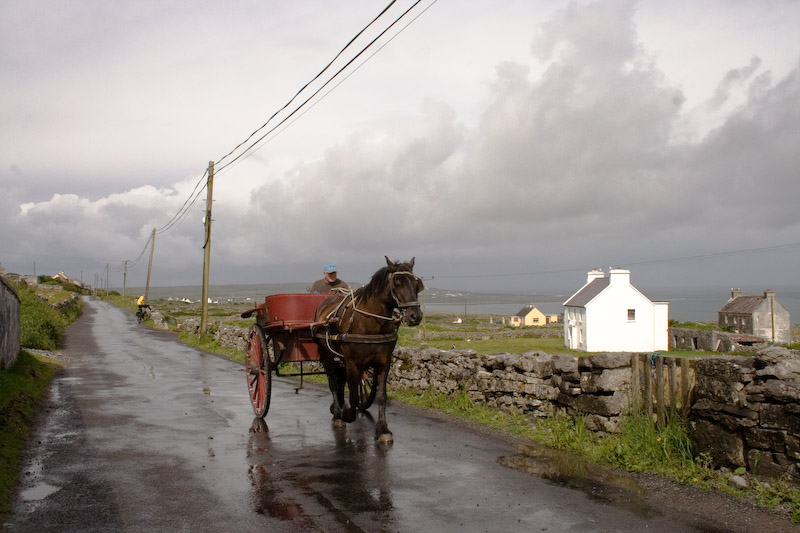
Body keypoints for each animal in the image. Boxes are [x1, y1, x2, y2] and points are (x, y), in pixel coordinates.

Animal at [312, 256, 424, 442]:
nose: (415, 316)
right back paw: (338, 412)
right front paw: (346, 415)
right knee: (334, 381)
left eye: (416, 284)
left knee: (340, 380)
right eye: (397, 283)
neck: (371, 322)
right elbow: (354, 395)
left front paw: (383, 429)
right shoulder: (352, 362)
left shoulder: (383, 362)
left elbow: (380, 395)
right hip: (326, 353)